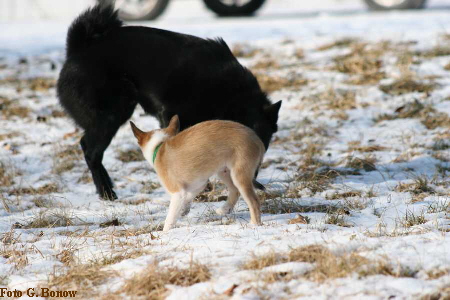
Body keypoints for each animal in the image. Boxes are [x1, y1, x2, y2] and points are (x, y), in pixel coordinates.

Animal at [56, 3, 282, 199]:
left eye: (261, 145)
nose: (252, 179)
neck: (229, 93)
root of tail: (78, 49)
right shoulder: (172, 114)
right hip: (114, 112)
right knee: (90, 150)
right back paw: (107, 193)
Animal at [129, 115, 264, 232]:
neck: (160, 145)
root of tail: (258, 140)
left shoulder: (177, 192)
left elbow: (170, 219)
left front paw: (166, 233)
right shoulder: (198, 184)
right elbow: (188, 197)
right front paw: (184, 210)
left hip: (239, 174)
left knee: (254, 202)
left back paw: (254, 225)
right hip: (224, 171)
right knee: (235, 190)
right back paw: (224, 210)